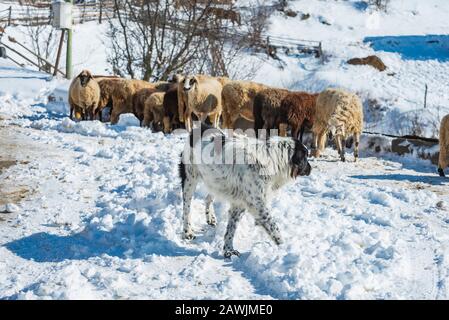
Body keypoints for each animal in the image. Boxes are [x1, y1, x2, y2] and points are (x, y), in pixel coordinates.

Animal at [178, 124, 308, 258]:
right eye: (305, 156)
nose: (310, 168)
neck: (271, 159)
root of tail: (200, 127)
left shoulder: (239, 203)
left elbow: (231, 229)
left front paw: (229, 250)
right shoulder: (258, 205)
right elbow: (273, 226)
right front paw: (284, 248)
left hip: (215, 183)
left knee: (208, 198)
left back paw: (211, 218)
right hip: (190, 179)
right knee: (186, 208)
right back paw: (187, 232)